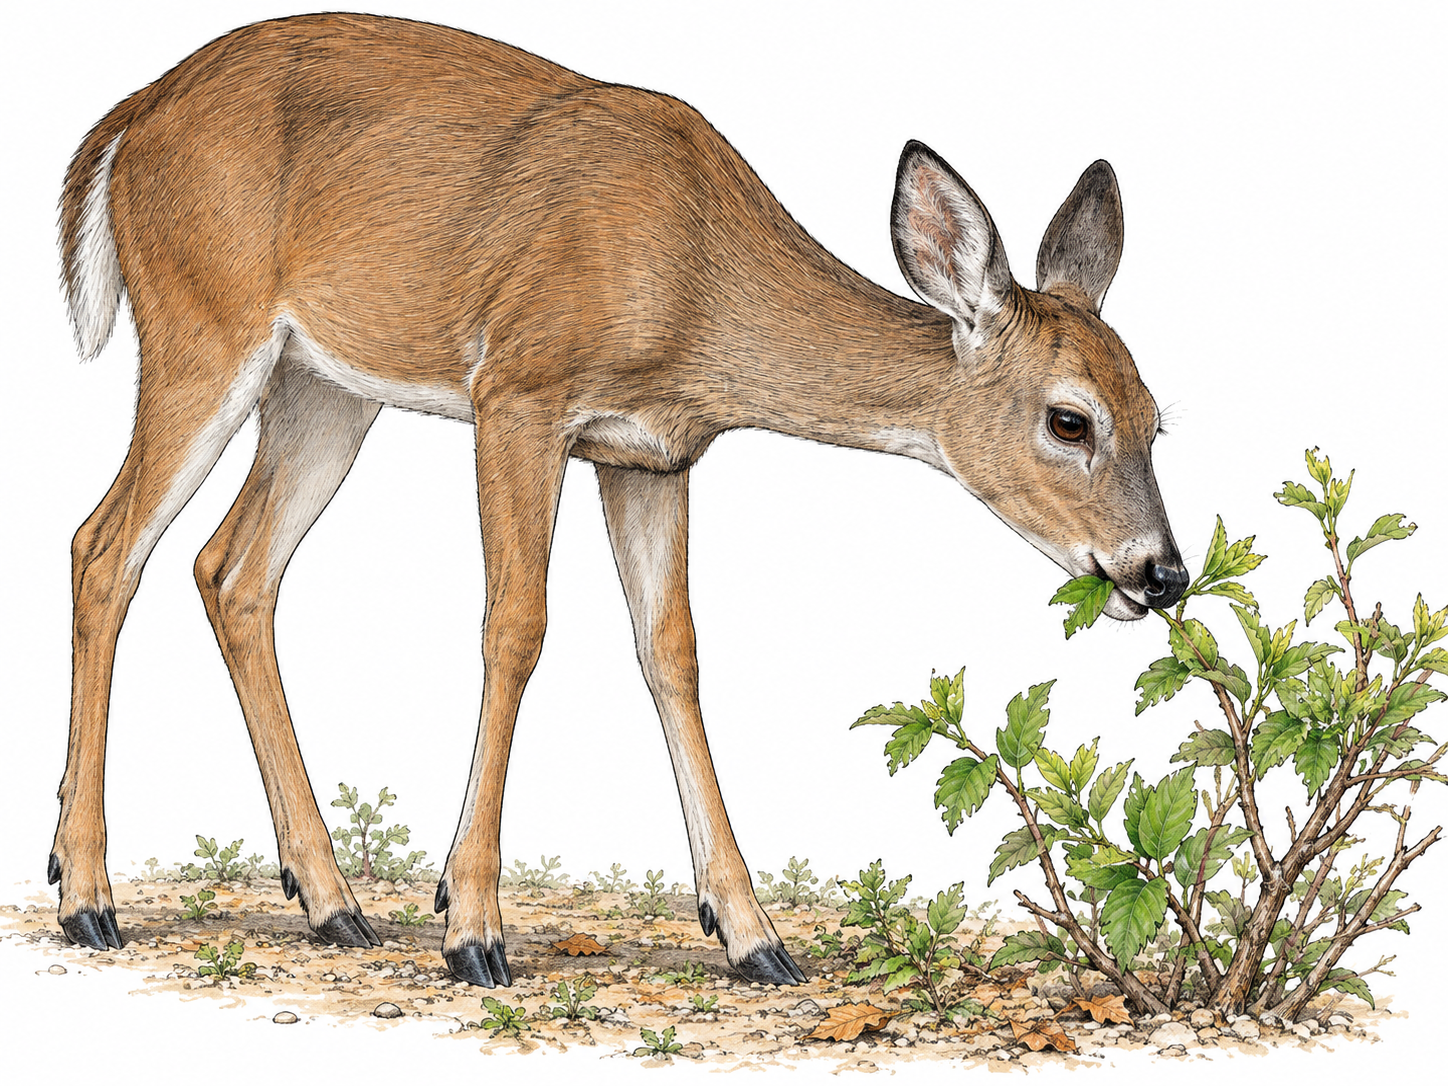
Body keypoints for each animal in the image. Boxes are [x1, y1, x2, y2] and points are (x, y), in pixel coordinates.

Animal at [53, 13, 1187, 988]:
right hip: (203, 325)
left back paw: (329, 902)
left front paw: (752, 937)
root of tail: (131, 118)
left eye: (1156, 420)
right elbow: (515, 625)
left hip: (325, 388)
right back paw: (87, 898)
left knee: (231, 570)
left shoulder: (650, 455)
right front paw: (471, 928)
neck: (697, 285)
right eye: (1070, 420)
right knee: (105, 545)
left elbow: (671, 652)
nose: (1160, 572)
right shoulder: (518, 391)